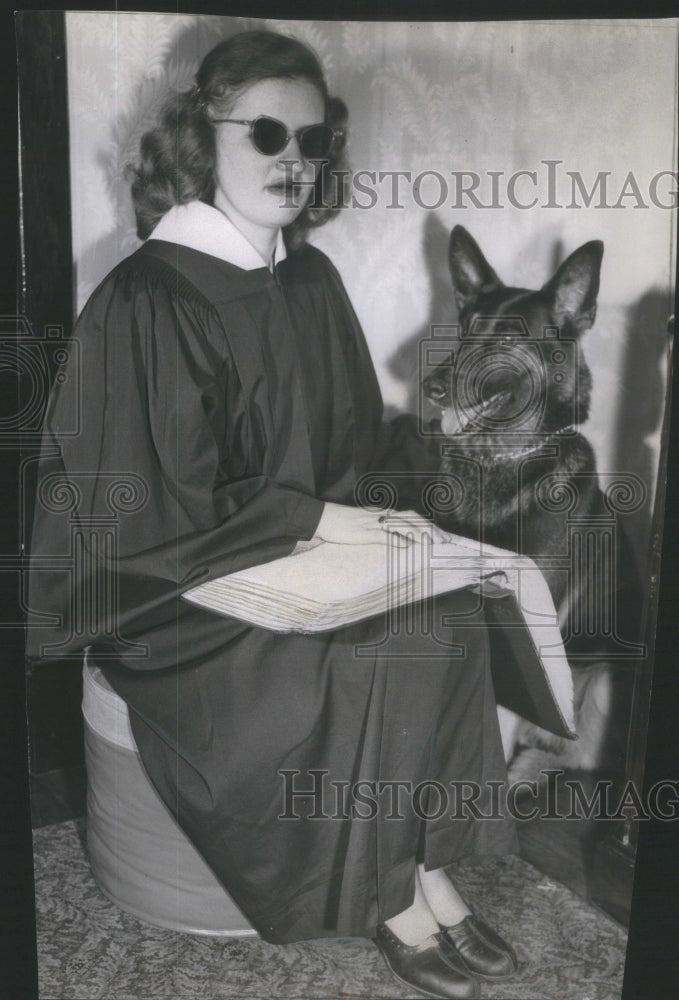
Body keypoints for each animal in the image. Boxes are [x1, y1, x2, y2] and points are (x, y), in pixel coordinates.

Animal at [424, 227, 644, 780]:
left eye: (506, 339)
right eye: (465, 330)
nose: (430, 388)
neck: (501, 462)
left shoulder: (528, 637)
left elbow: (501, 720)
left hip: (601, 673)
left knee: (579, 754)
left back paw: (526, 772)